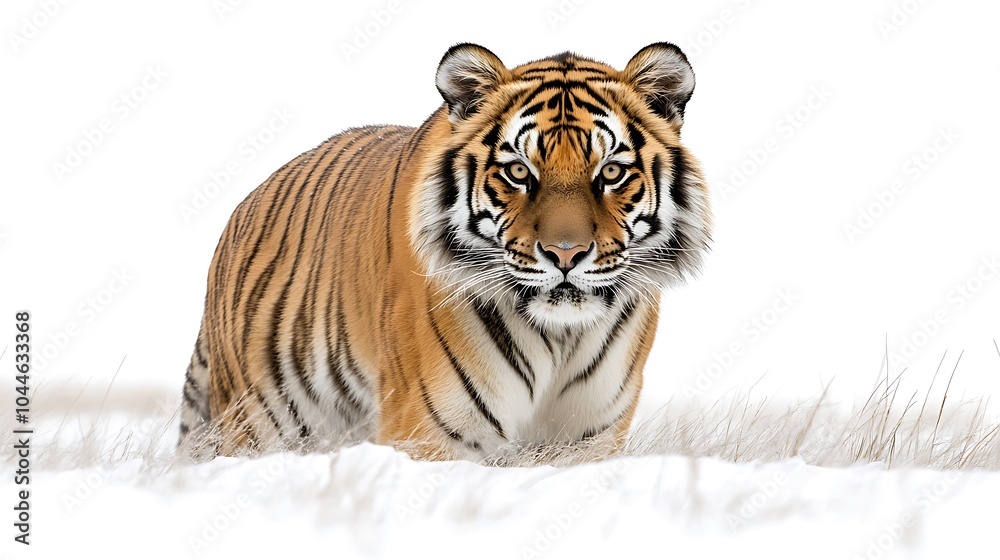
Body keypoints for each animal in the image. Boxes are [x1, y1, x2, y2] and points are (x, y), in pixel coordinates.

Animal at [178, 42, 712, 461]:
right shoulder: (428, 434)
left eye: (611, 172)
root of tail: (241, 208)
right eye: (519, 172)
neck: (559, 338)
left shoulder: (589, 441)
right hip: (256, 422)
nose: (565, 254)